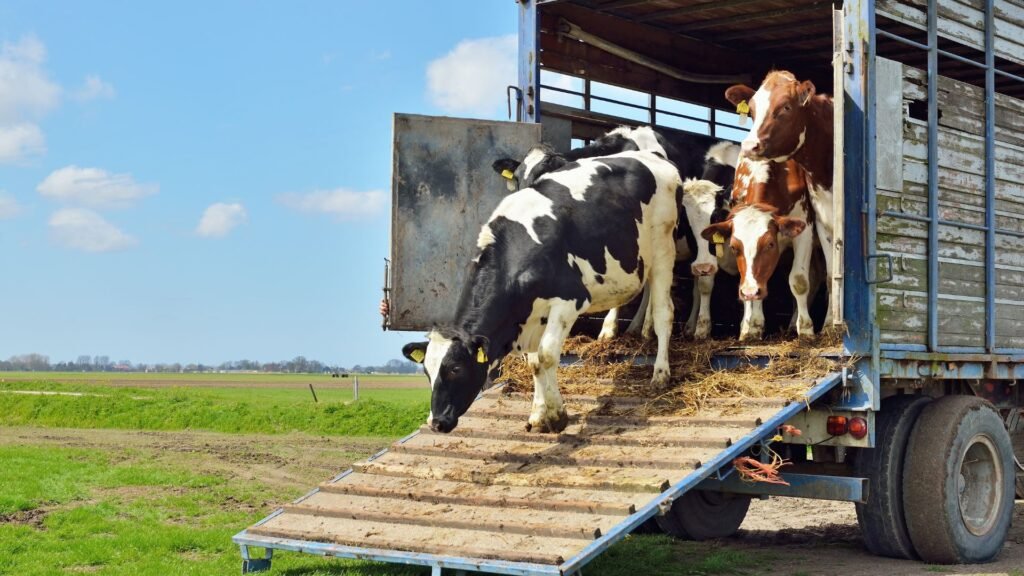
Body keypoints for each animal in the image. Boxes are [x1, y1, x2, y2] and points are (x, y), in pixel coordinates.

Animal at [403, 150, 684, 432]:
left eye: (456, 368)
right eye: (427, 371)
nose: (436, 422)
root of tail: (652, 155)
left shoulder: (569, 300)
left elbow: (547, 356)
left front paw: (557, 415)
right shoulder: (531, 315)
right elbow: (535, 363)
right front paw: (539, 414)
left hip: (663, 248)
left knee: (665, 313)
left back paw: (660, 373)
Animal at [700, 154, 811, 338]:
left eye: (770, 244)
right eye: (733, 247)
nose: (750, 291)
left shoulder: (805, 228)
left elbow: (799, 281)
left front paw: (806, 328)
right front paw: (751, 325)